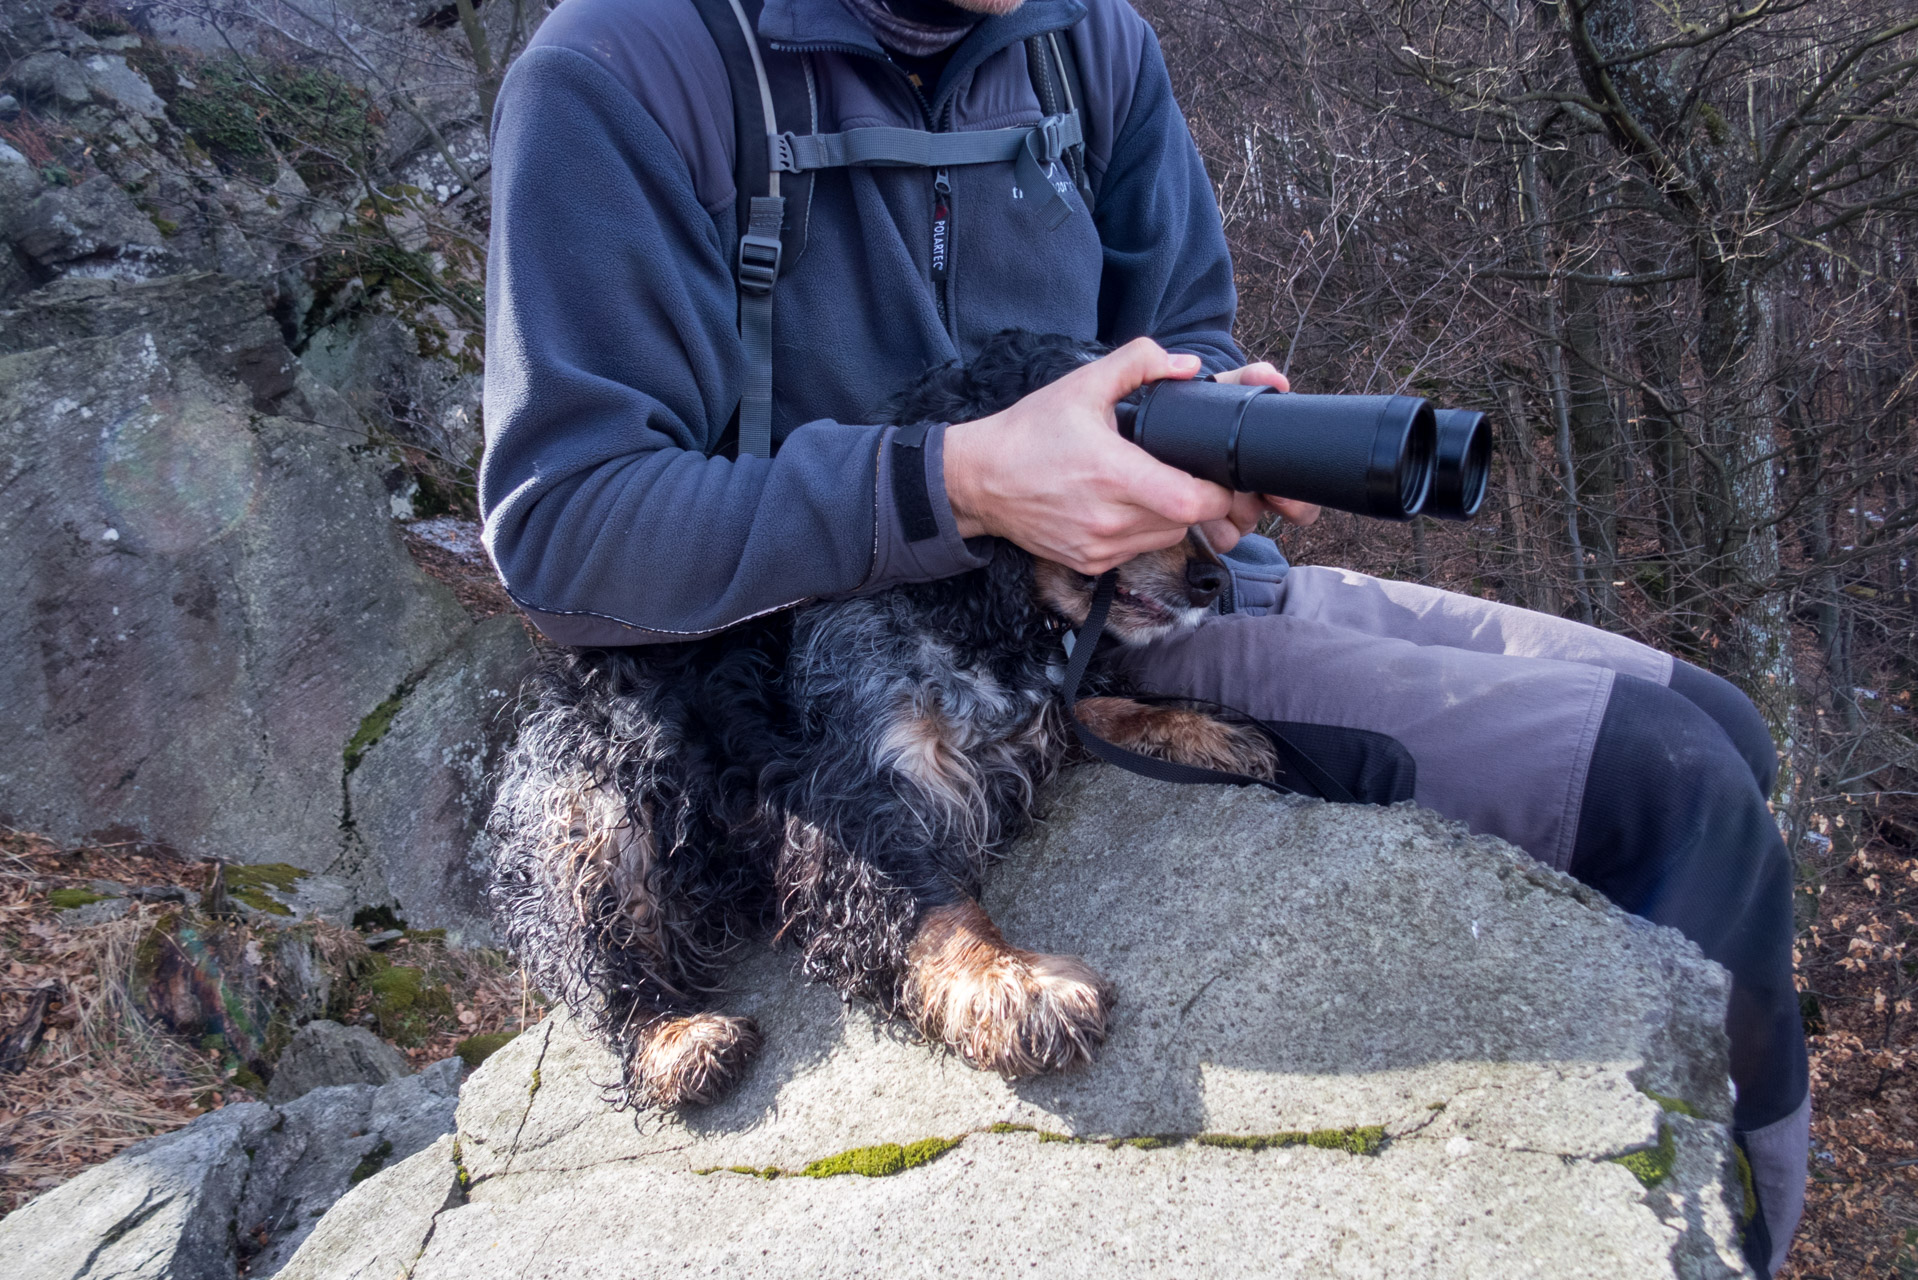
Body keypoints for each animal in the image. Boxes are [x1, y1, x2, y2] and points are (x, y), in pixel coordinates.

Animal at [487, 333, 1281, 1113]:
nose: (1215, 580)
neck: (956, 614)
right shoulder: (854, 792)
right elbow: (935, 903)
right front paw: (1009, 985)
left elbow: (1097, 707)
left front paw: (1206, 734)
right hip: (597, 824)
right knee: (606, 970)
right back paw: (677, 1040)